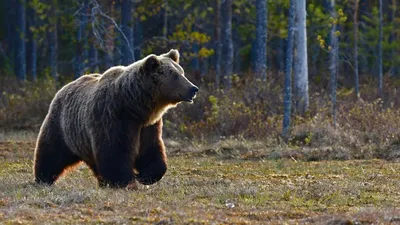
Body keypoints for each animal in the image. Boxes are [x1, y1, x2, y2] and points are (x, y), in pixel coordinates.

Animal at [32, 49, 198, 188]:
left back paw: (102, 181)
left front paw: (145, 176)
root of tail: (65, 87)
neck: (134, 106)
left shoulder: (148, 126)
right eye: (174, 75)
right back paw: (43, 178)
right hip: (62, 126)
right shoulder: (113, 117)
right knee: (51, 152)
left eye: (182, 72)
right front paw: (124, 181)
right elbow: (115, 152)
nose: (194, 88)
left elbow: (151, 150)